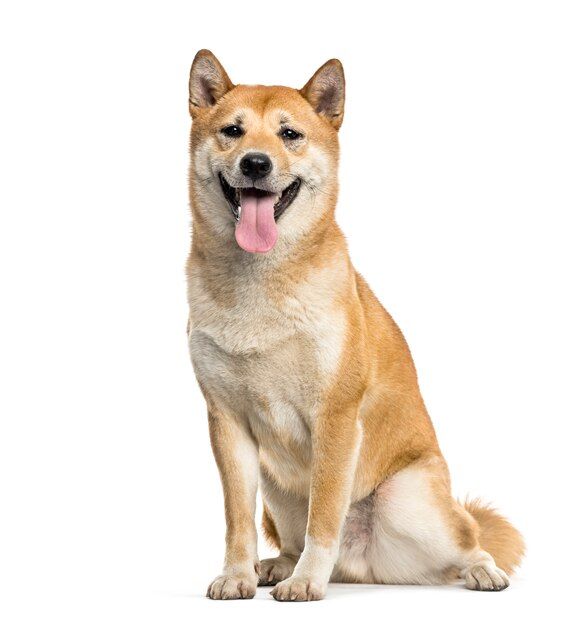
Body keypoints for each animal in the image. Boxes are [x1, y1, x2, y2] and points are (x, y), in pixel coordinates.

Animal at [187, 50, 524, 600]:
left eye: (289, 134)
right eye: (232, 130)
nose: (256, 163)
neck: (260, 283)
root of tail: (364, 565)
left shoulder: (336, 417)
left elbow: (325, 514)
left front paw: (307, 583)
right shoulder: (227, 424)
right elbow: (236, 520)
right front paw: (238, 574)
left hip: (408, 503)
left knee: (467, 540)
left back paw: (481, 570)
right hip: (277, 490)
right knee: (290, 537)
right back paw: (276, 565)